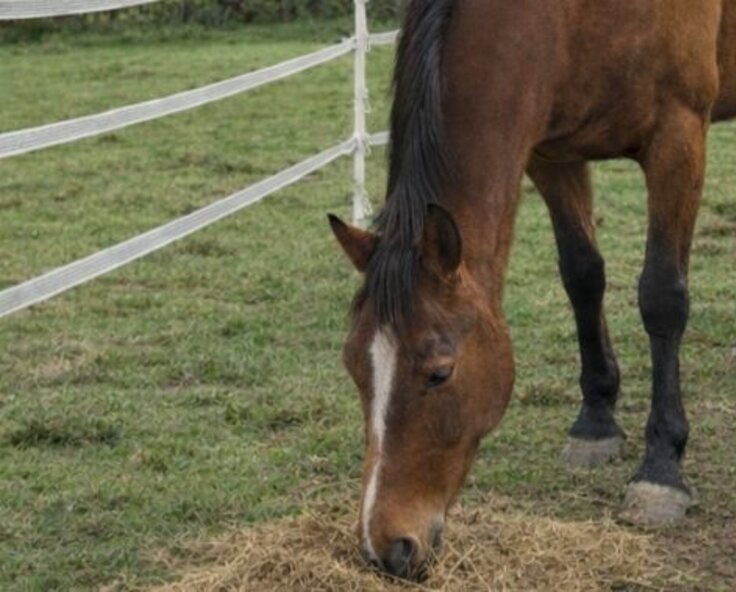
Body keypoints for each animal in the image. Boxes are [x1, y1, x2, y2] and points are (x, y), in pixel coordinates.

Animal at [329, 0, 736, 581]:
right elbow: (582, 276)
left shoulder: (677, 139)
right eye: (353, 367)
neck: (577, 16)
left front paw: (661, 469)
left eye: (439, 372)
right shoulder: (550, 154)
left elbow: (661, 297)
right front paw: (595, 422)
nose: (385, 548)